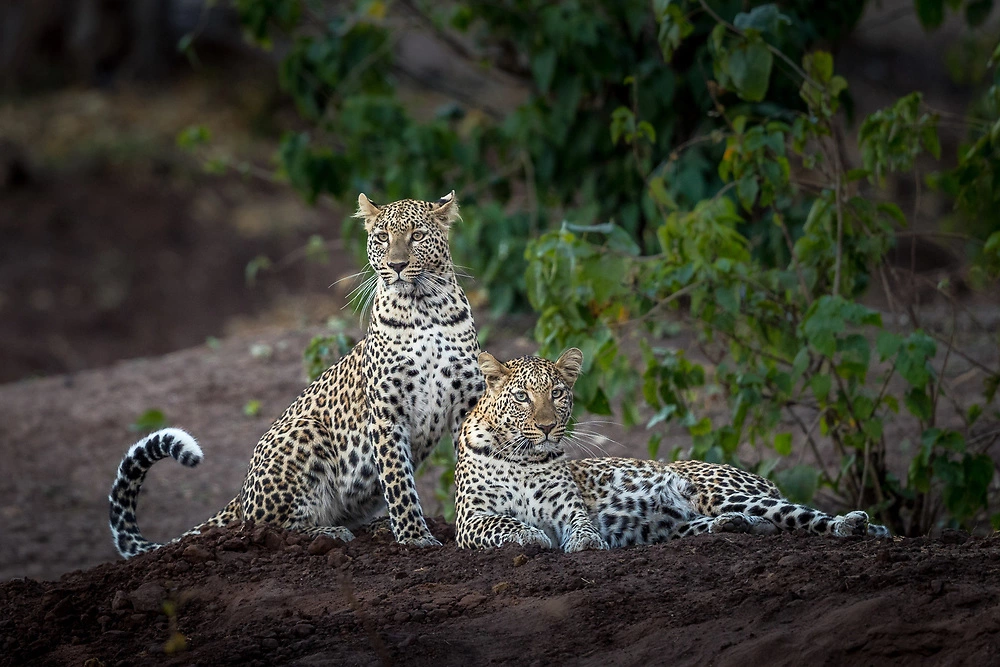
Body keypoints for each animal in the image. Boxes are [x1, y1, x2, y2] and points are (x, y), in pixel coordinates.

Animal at [109, 190, 484, 556]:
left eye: (417, 236)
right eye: (382, 238)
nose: (397, 265)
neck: (424, 308)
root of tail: (241, 493)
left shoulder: (468, 403)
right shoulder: (387, 412)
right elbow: (398, 480)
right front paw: (413, 537)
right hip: (306, 431)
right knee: (268, 528)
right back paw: (329, 534)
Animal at [456, 350, 892, 552]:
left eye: (558, 394)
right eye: (522, 397)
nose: (547, 427)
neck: (522, 457)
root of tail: (761, 480)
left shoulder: (570, 508)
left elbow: (581, 525)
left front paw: (585, 543)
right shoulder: (469, 519)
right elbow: (503, 523)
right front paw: (532, 535)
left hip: (724, 492)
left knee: (804, 515)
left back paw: (853, 525)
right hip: (682, 523)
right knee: (762, 523)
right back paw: (737, 527)